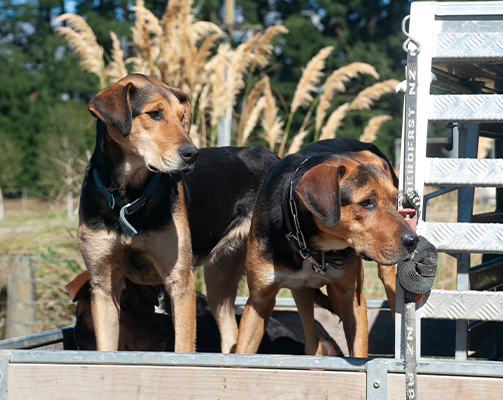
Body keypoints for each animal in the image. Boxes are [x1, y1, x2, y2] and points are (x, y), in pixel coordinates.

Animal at [79, 74, 278, 352]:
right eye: (154, 114)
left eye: (183, 116)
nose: (192, 154)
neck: (126, 199)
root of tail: (276, 157)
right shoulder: (104, 284)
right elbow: (105, 350)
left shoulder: (180, 281)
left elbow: (182, 349)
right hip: (219, 281)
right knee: (232, 333)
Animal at [235, 138, 419, 358]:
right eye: (366, 202)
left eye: (393, 199)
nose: (413, 241)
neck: (309, 246)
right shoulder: (259, 299)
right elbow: (241, 353)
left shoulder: (351, 298)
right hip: (301, 290)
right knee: (313, 343)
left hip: (387, 276)